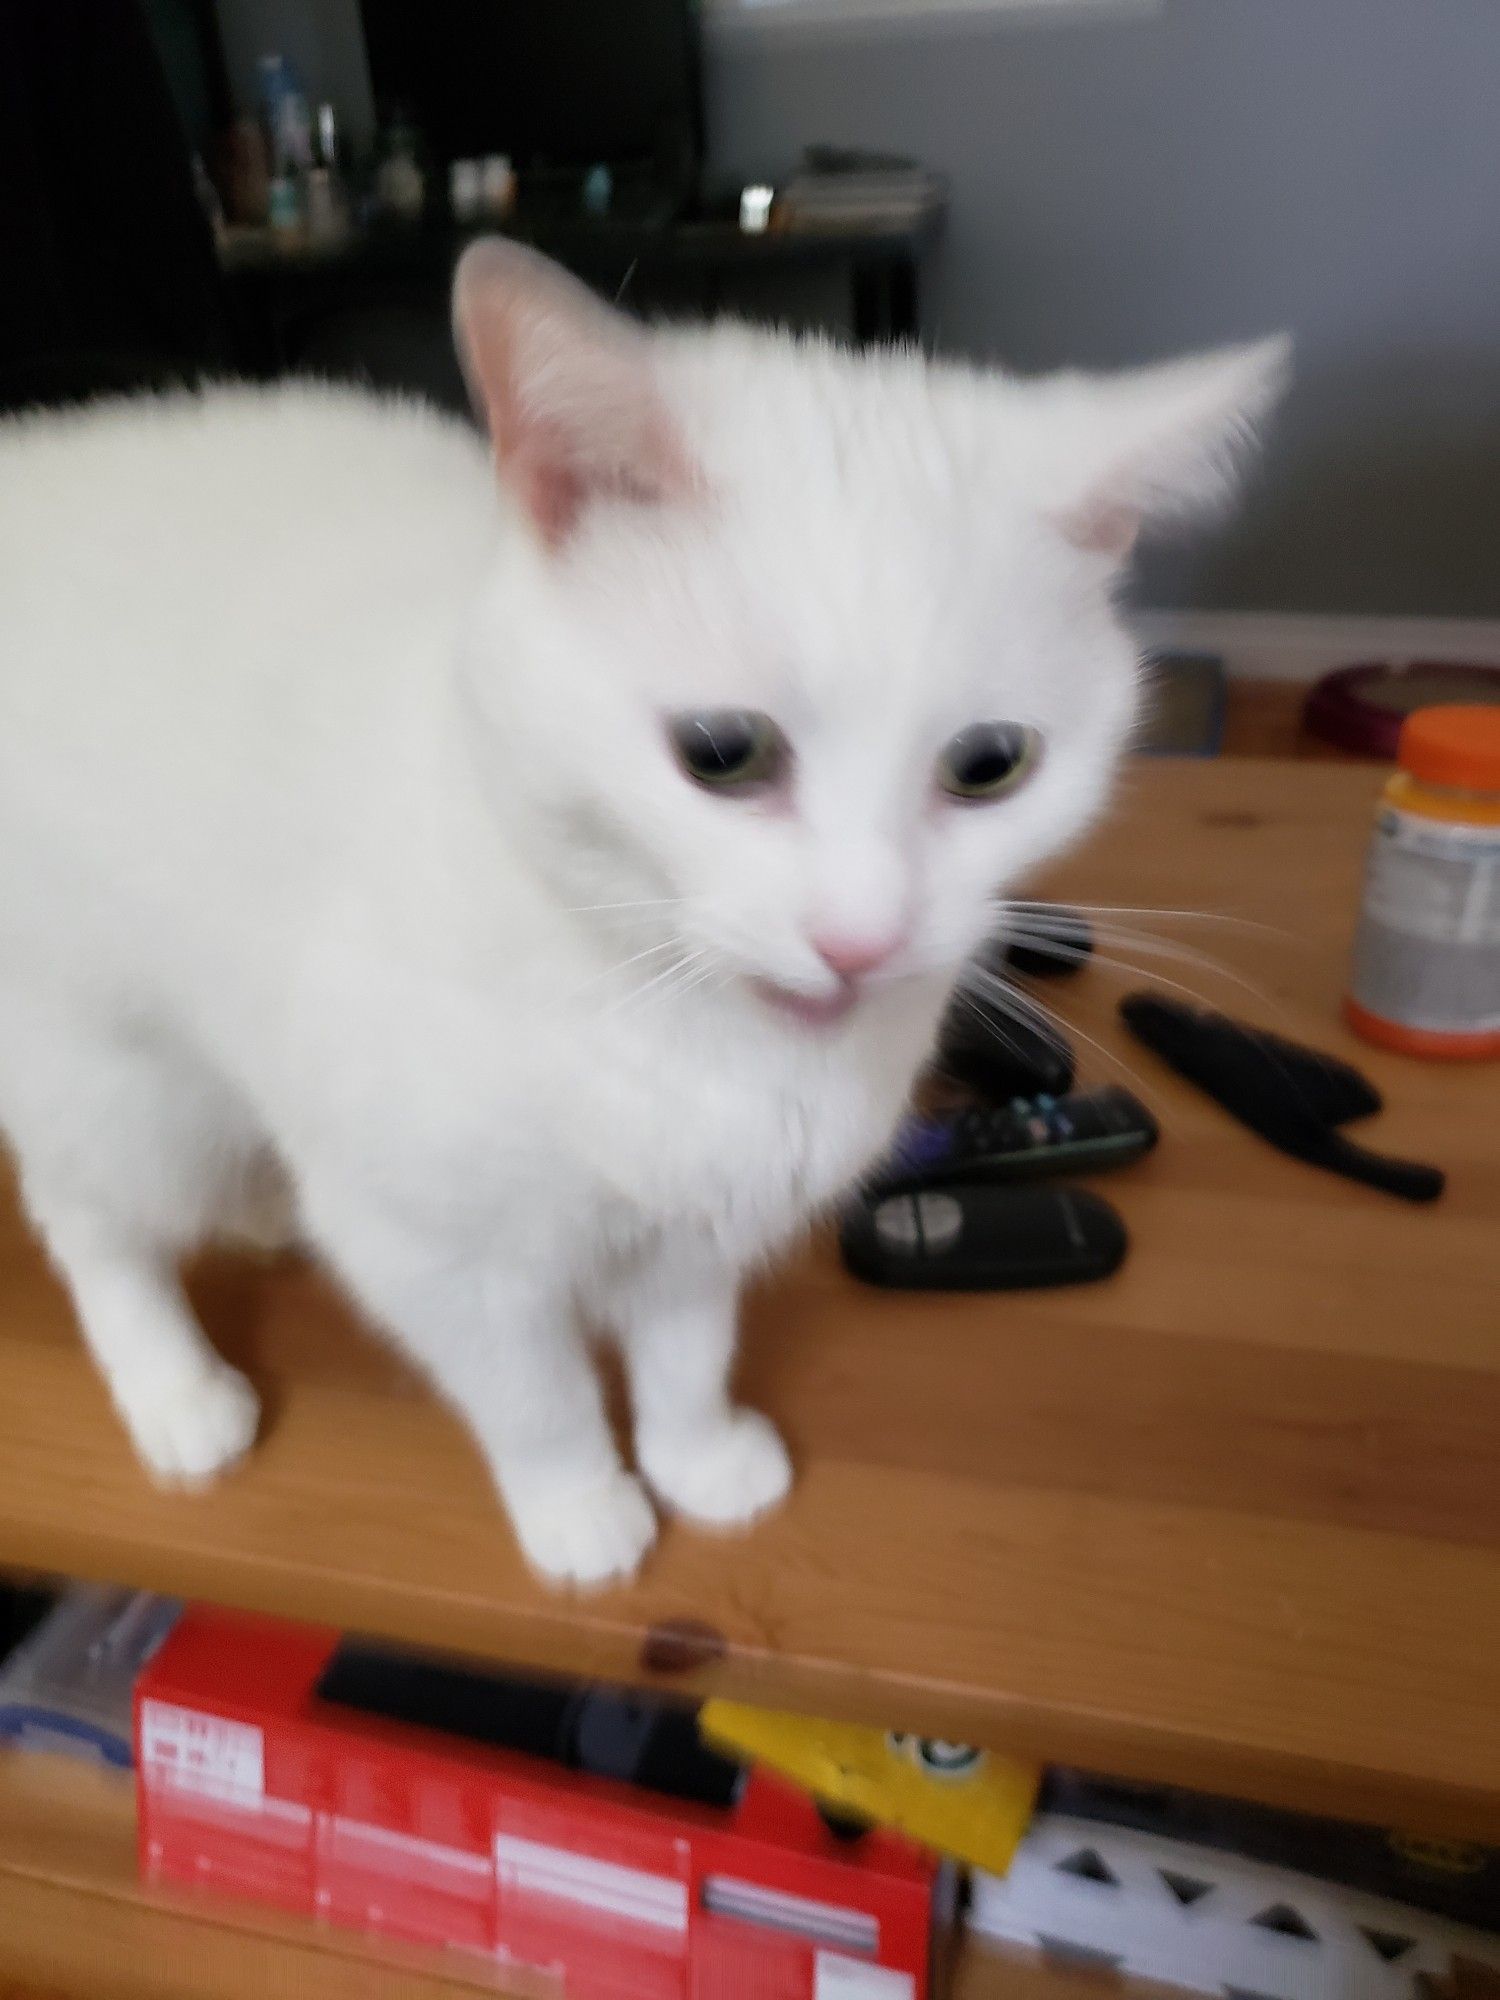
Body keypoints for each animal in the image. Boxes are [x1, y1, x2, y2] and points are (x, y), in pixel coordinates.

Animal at [0, 238, 1296, 1576]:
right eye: (722, 751)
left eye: (991, 764)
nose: (862, 937)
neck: (693, 1032)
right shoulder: (443, 1255)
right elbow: (537, 1390)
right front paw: (580, 1506)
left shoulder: (703, 1233)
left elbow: (685, 1351)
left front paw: (698, 1457)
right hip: (114, 1073)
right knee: (89, 1215)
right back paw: (174, 1389)